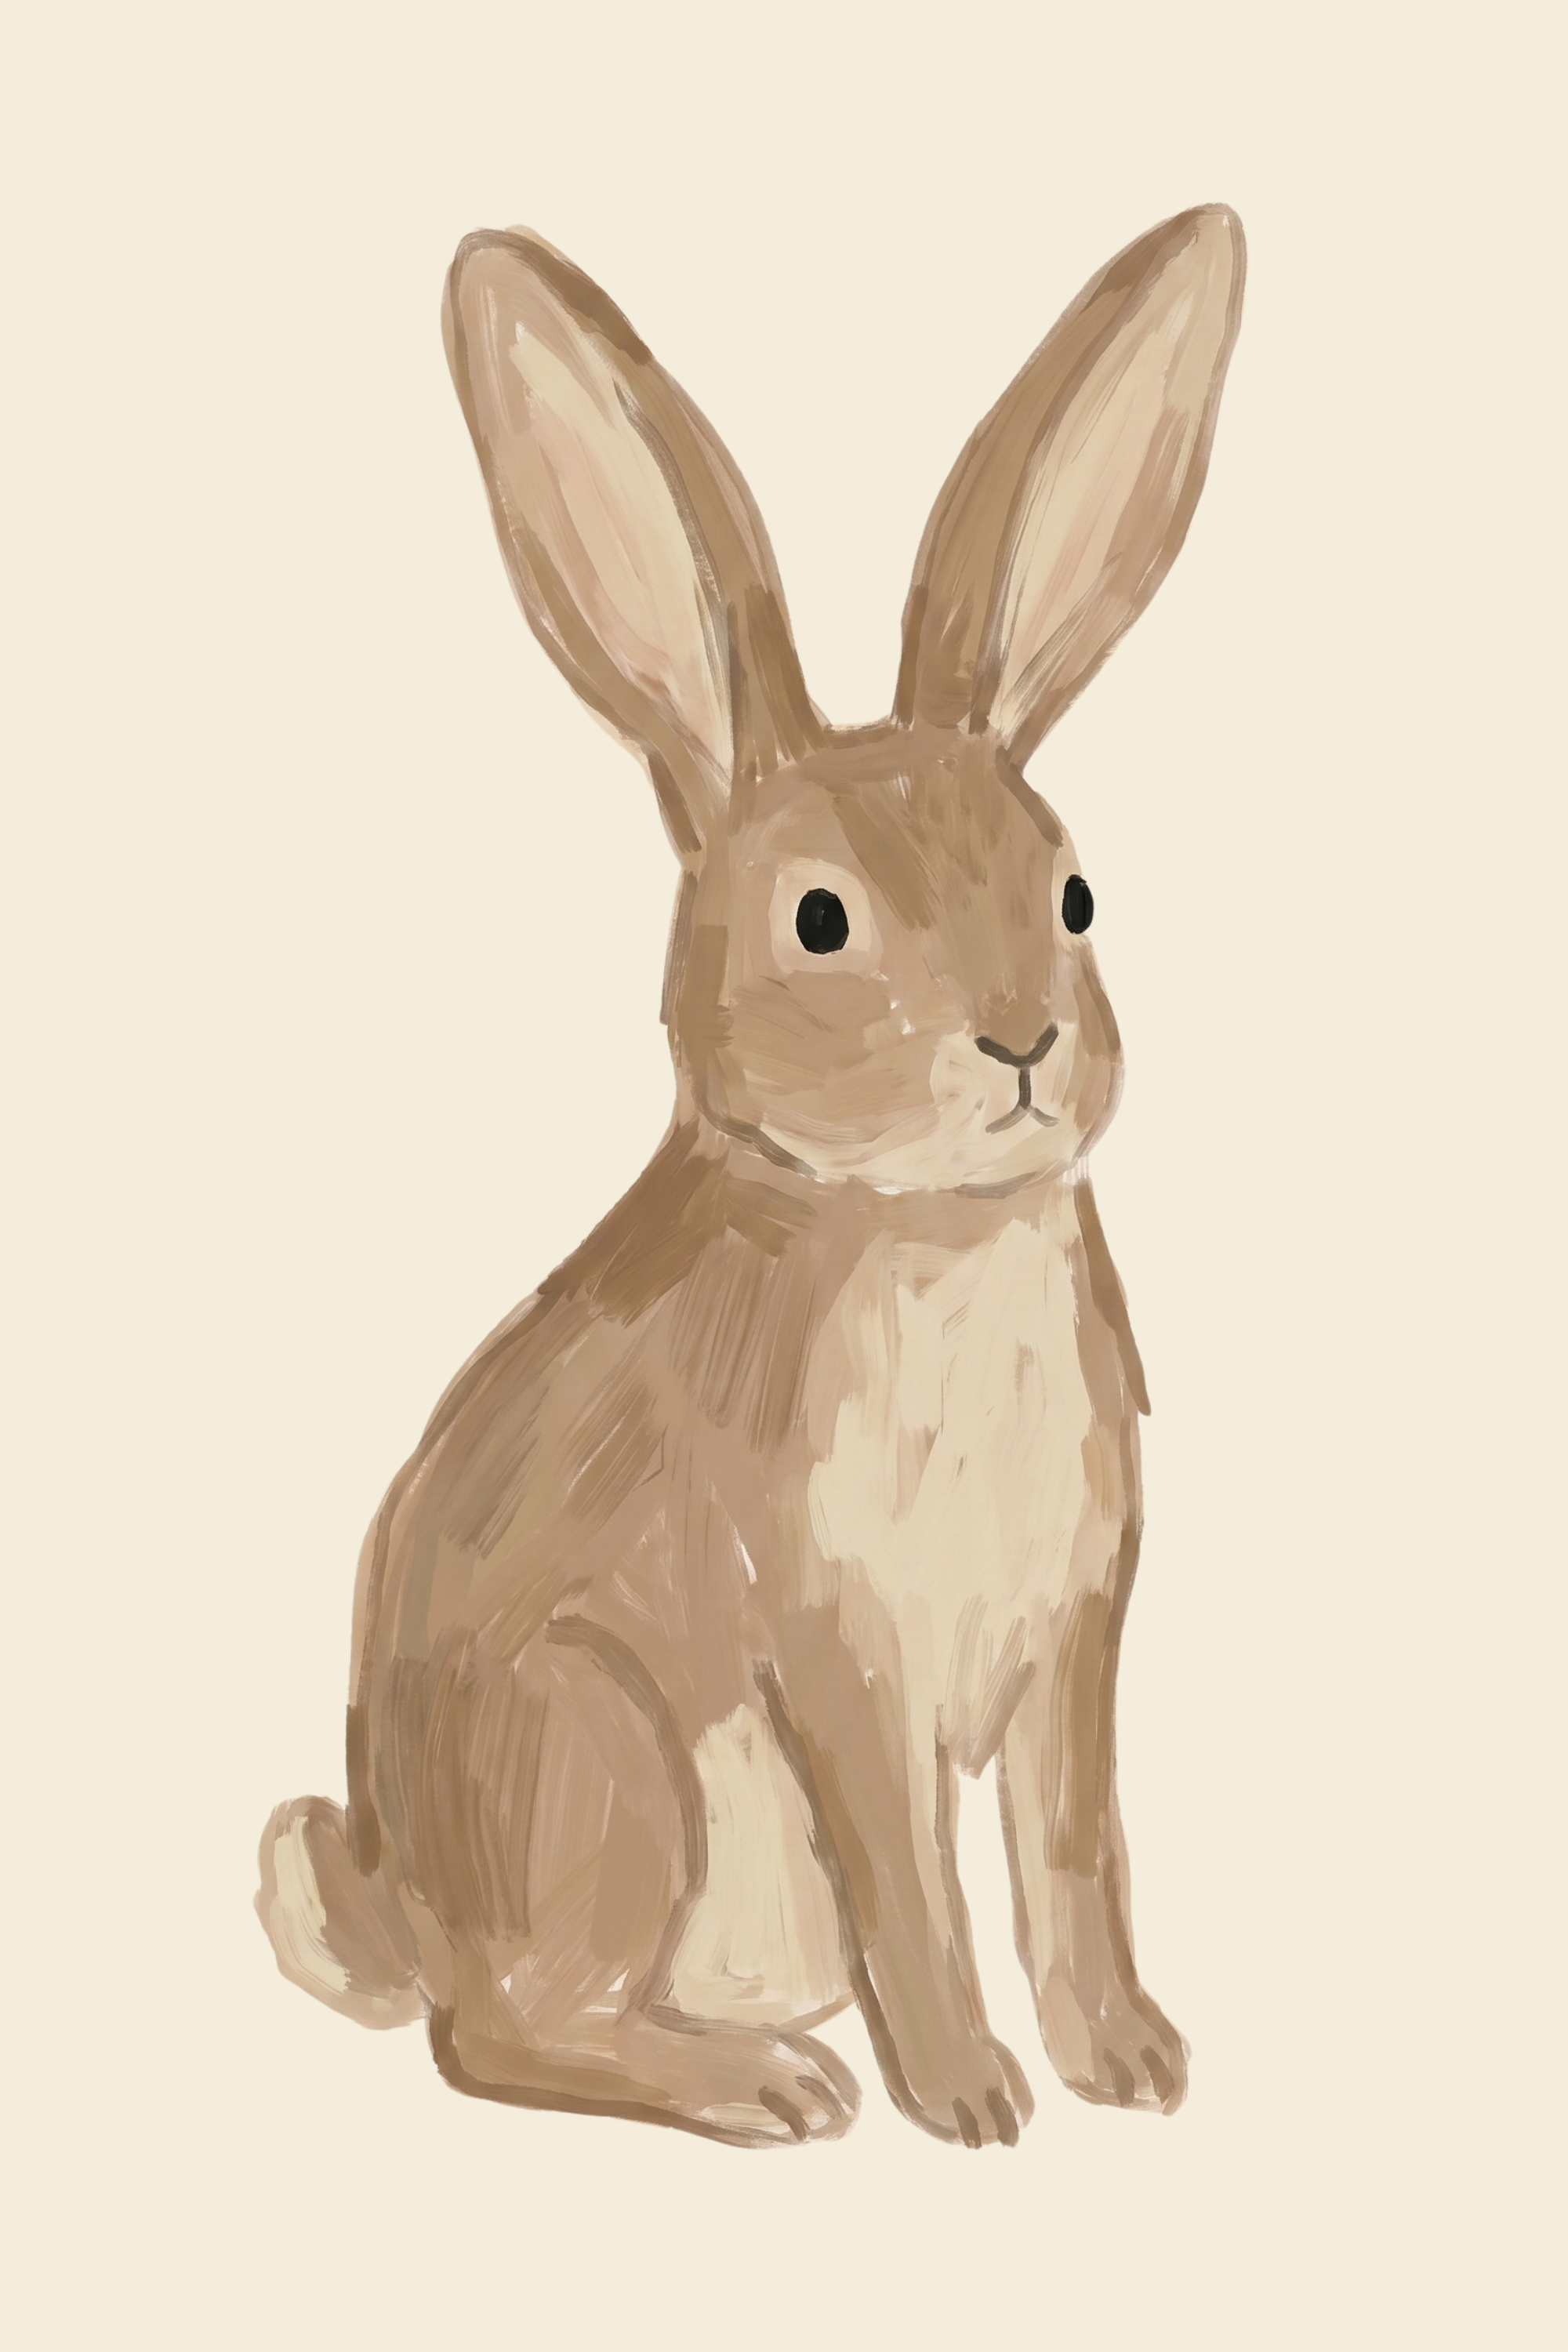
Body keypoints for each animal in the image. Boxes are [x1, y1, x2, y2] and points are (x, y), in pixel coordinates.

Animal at [257, 204, 1245, 2147]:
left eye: (1077, 894)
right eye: (820, 923)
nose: (1021, 1043)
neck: (922, 1228)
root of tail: (402, 1907)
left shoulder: (1071, 1642)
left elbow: (1071, 1857)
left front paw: (1131, 2066)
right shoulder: (834, 1639)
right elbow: (917, 1884)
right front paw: (973, 2102)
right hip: (602, 1764)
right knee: (497, 2036)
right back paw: (771, 2089)